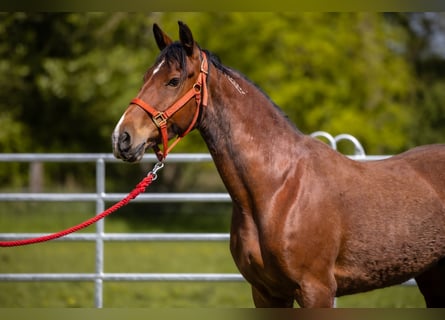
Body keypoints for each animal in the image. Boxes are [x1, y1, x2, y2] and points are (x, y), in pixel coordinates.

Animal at [112, 20, 444, 308]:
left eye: (173, 80)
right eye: (145, 77)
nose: (122, 138)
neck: (279, 187)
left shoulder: (316, 290)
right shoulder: (266, 292)